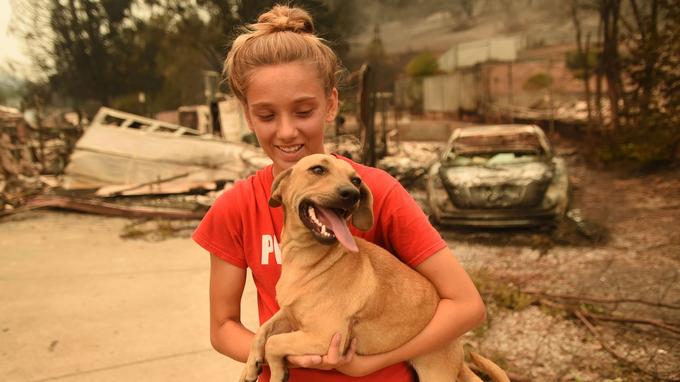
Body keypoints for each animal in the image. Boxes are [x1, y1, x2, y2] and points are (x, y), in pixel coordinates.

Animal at [239, 154, 510, 380]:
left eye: (356, 180)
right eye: (317, 169)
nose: (352, 193)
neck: (309, 260)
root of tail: (459, 352)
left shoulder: (323, 336)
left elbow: (275, 343)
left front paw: (277, 372)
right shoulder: (291, 315)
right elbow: (263, 331)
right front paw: (251, 365)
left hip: (436, 373)